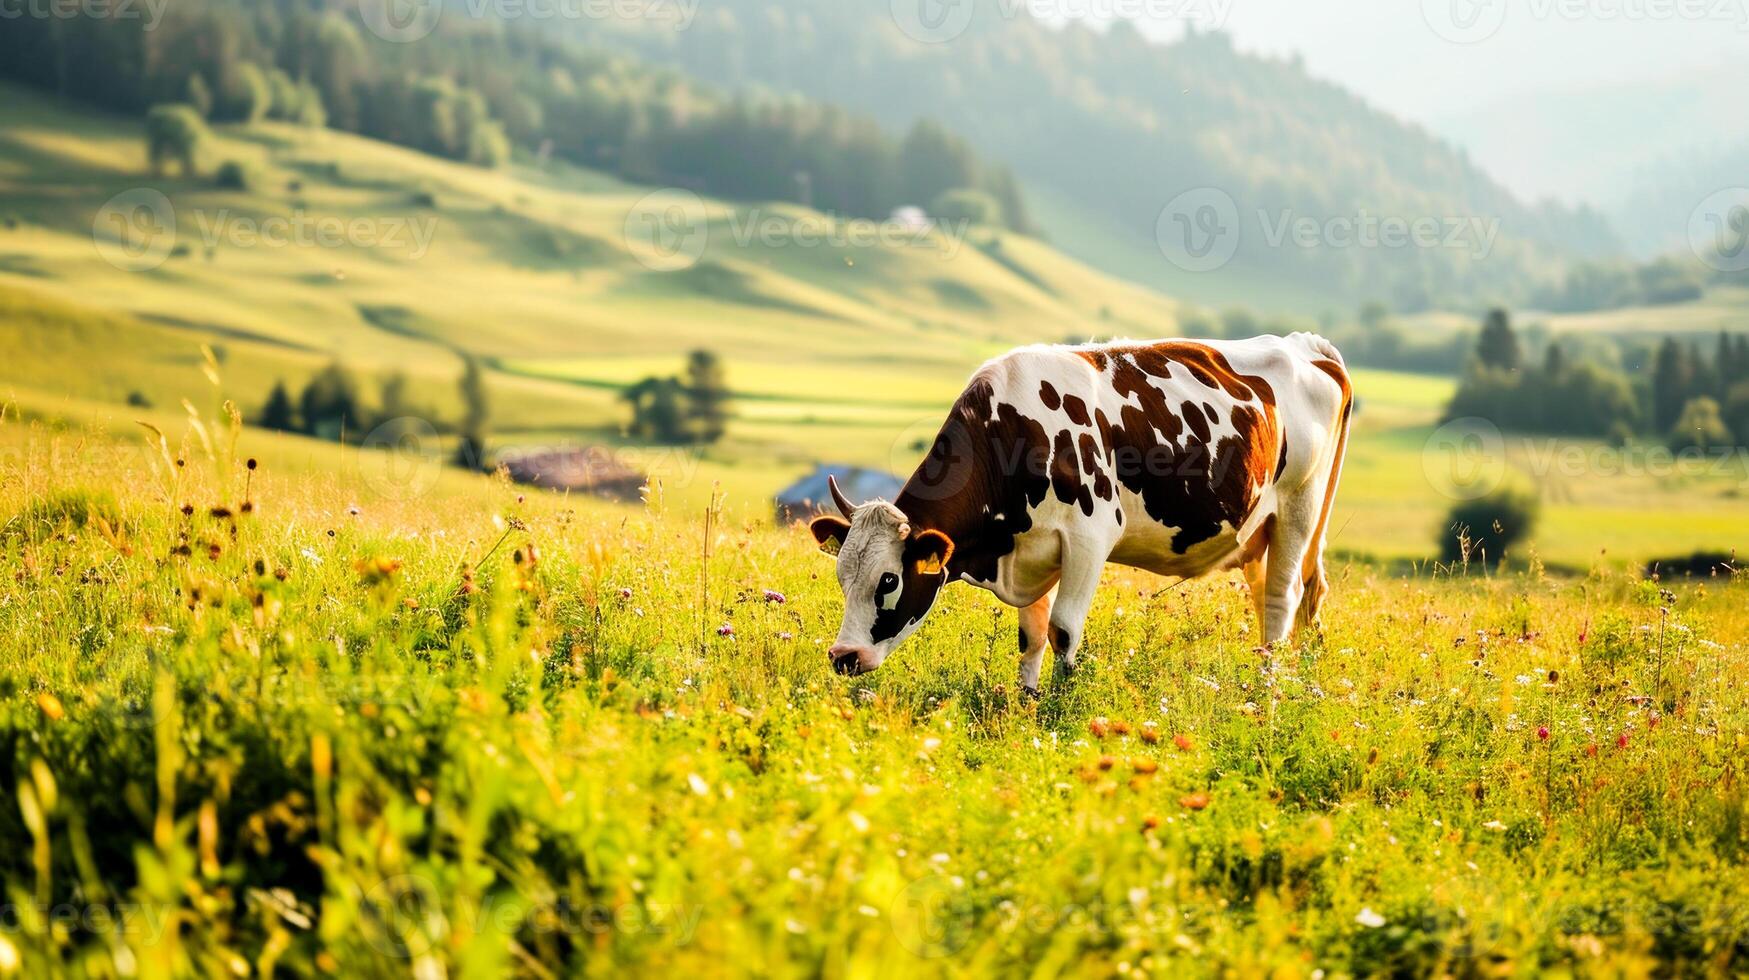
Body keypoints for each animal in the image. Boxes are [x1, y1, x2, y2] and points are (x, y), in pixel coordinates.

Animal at [811, 332, 1357, 693]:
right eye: (841, 576)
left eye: (888, 580)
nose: (843, 657)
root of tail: (1304, 345)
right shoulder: (1029, 549)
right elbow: (1030, 637)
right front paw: (1026, 703)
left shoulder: (1089, 538)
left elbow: (1062, 631)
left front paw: (1058, 706)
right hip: (1256, 533)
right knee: (1278, 598)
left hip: (1299, 509)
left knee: (1282, 600)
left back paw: (1267, 690)